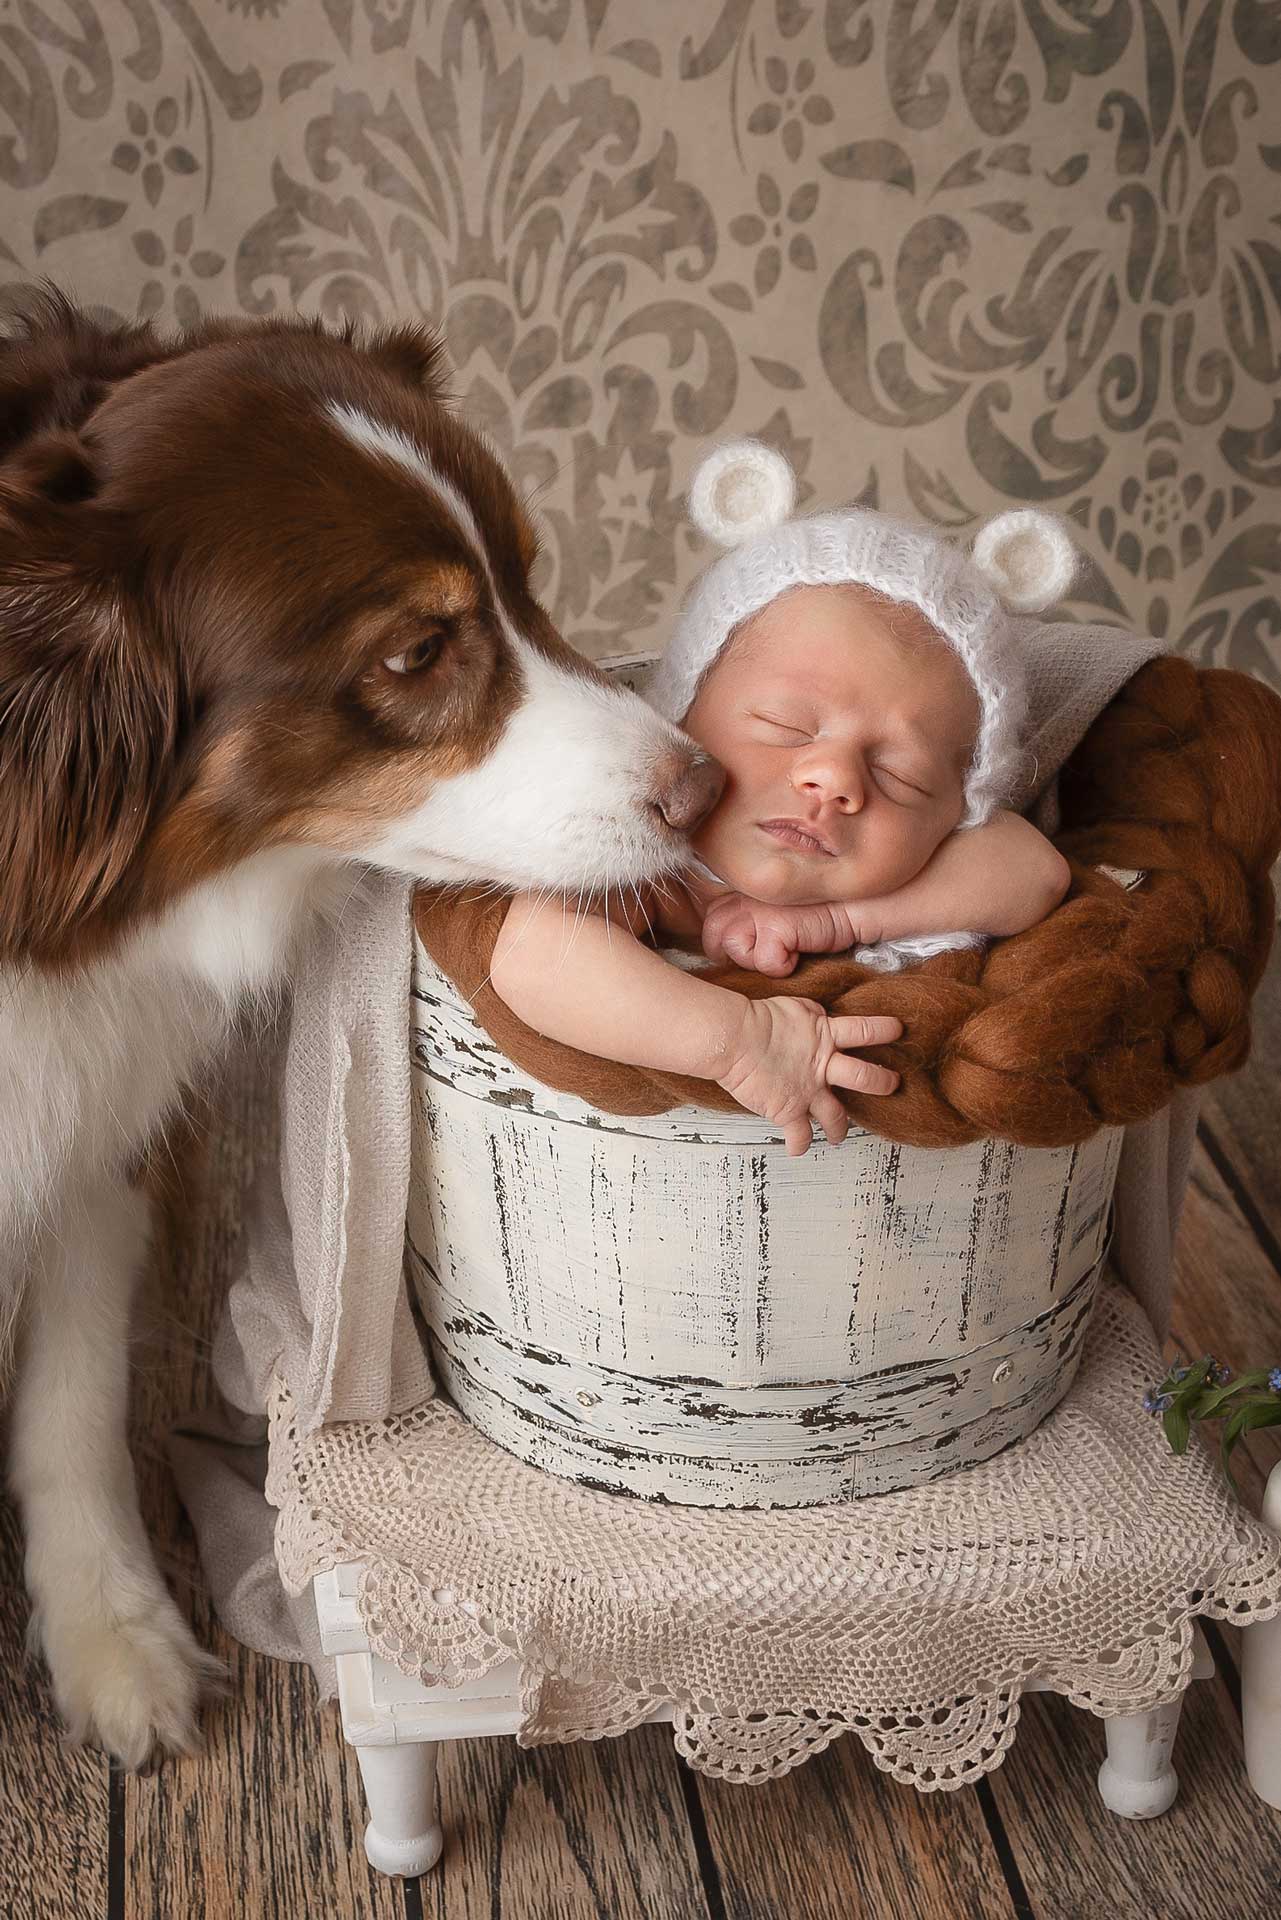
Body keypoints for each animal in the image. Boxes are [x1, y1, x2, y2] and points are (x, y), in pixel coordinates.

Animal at [0, 288, 722, 1766]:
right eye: (415, 654)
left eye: (529, 580)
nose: (707, 787)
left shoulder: (96, 1132)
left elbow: (73, 1390)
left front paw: (113, 1633)